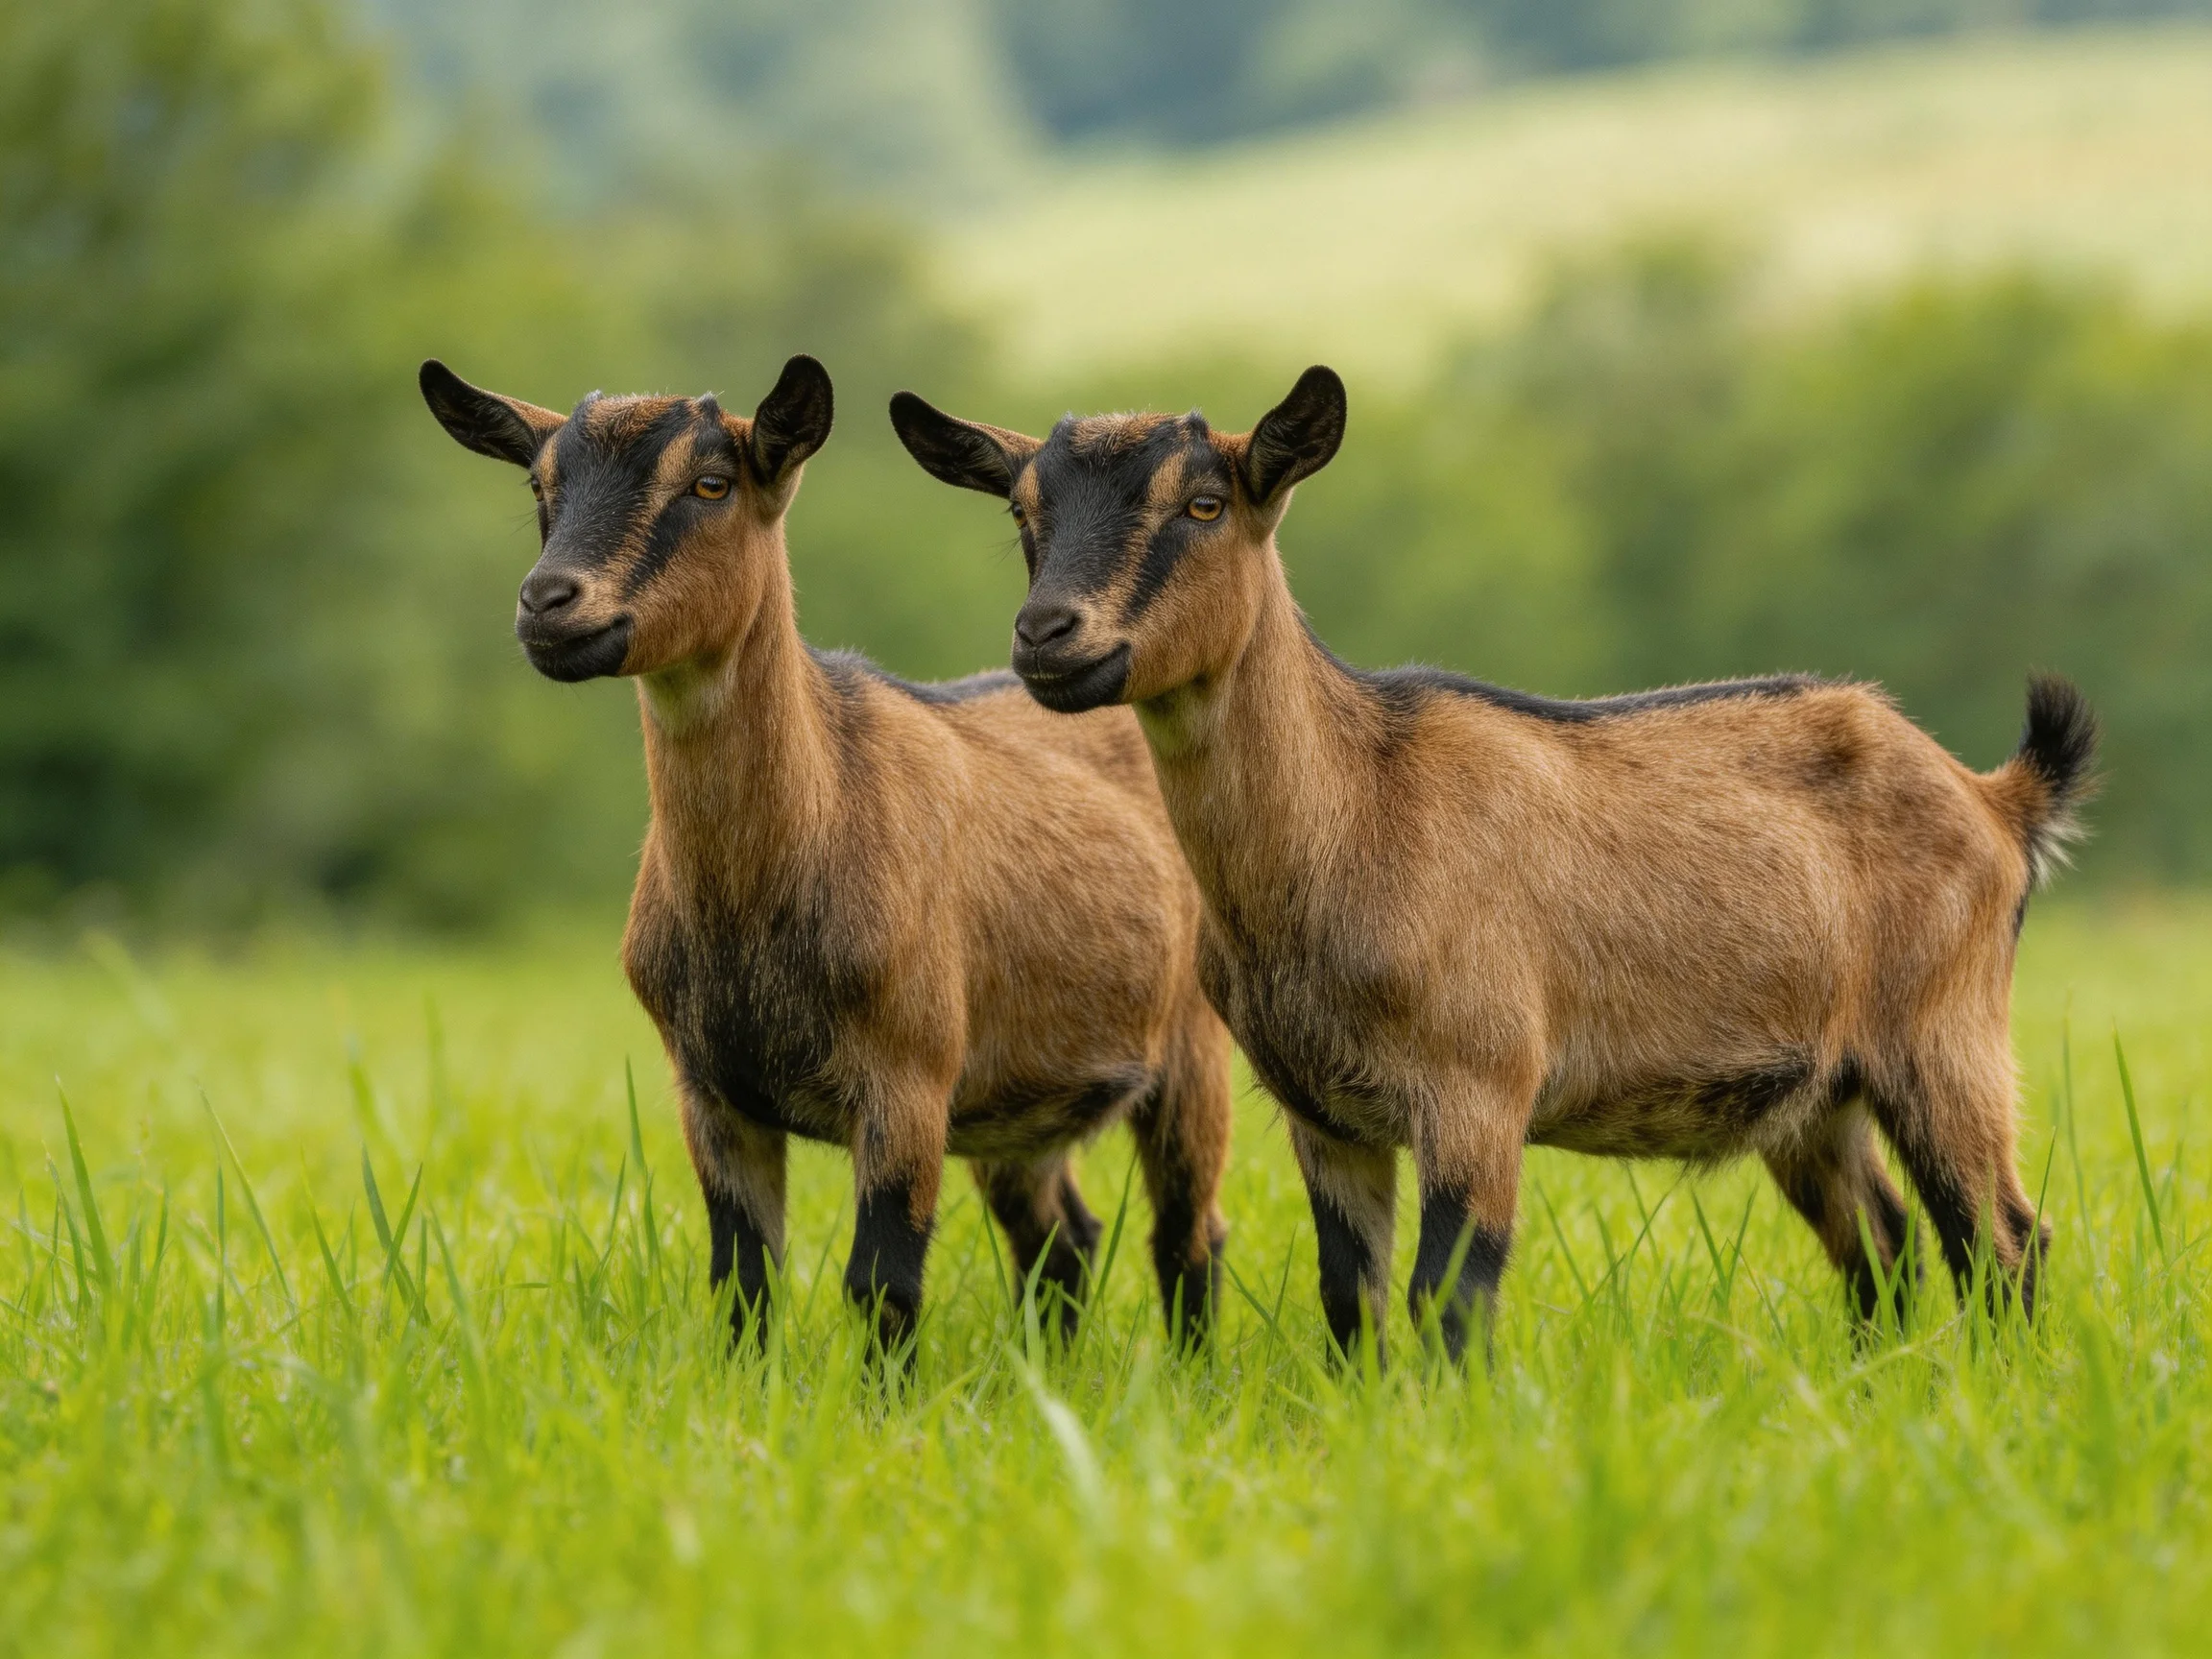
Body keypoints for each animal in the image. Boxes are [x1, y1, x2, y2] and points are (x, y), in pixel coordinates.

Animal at [420, 355, 1233, 1356]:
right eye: (541, 486)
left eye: (711, 484)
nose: (547, 602)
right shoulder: (711, 1094)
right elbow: (742, 1283)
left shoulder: (908, 1083)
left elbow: (880, 1285)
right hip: (1014, 1106)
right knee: (1062, 1237)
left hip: (1190, 1049)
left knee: (1186, 1232)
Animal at [891, 367, 2096, 1363]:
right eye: (1023, 512)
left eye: (1204, 504)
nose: (1050, 635)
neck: (1355, 813)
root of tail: (1995, 797)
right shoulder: (1324, 1113)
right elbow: (1351, 1302)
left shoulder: (1480, 1084)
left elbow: (1449, 1298)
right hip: (1817, 1095)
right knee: (1885, 1243)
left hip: (1942, 1038)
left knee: (2003, 1240)